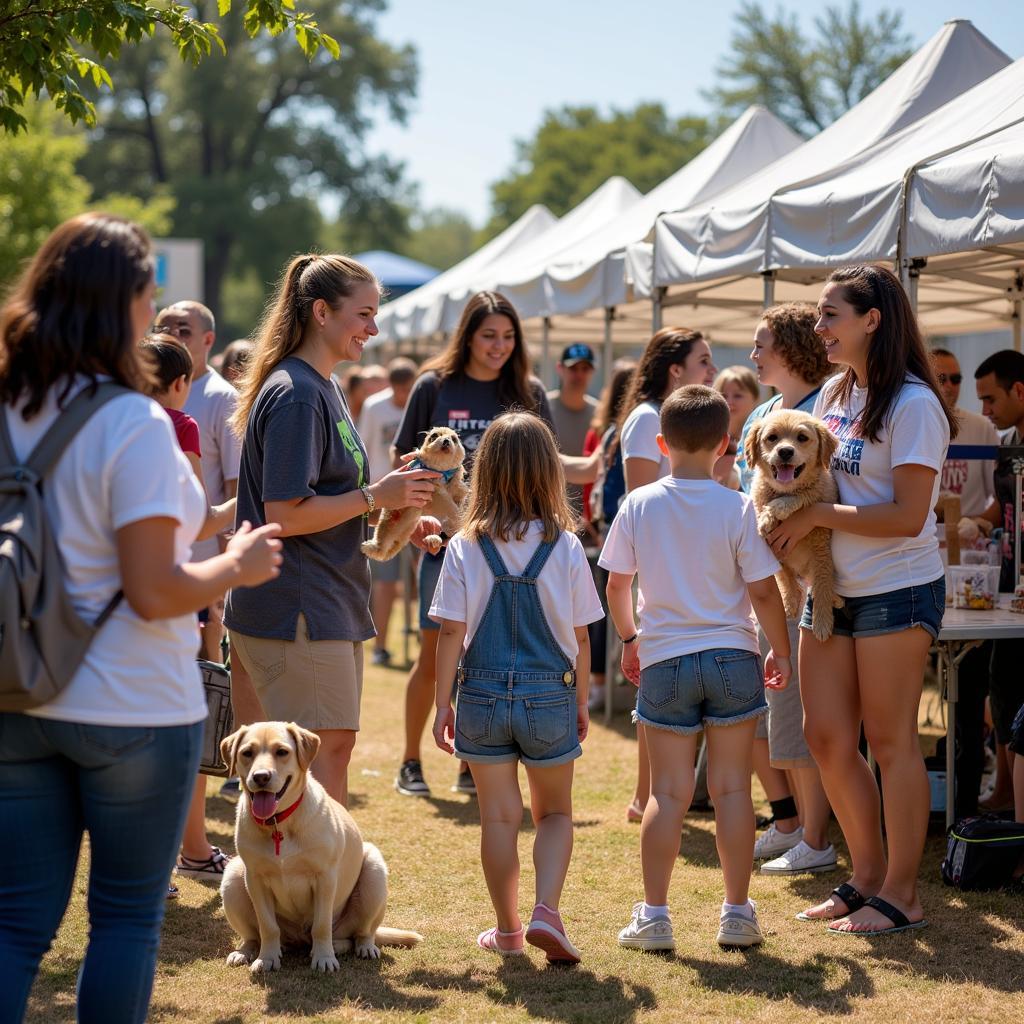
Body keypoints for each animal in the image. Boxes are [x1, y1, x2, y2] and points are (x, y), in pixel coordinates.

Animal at [218, 720, 421, 974]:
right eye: (247, 753)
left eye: (282, 752)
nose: (261, 777)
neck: (279, 824)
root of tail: (299, 939)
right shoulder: (255, 879)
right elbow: (268, 926)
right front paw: (267, 958)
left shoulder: (325, 878)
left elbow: (321, 926)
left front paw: (324, 957)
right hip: (233, 875)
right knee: (255, 935)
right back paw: (245, 951)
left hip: (373, 871)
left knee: (361, 933)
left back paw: (360, 947)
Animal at [360, 425, 468, 561]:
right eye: (434, 436)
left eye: (454, 439)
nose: (446, 441)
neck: (441, 471)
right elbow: (448, 504)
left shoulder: (455, 490)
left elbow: (456, 501)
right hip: (389, 520)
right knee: (381, 545)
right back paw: (370, 547)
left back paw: (434, 539)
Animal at [745, 407, 839, 638]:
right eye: (772, 438)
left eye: (802, 438)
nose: (785, 451)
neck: (783, 490)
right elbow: (784, 578)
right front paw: (767, 518)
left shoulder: (821, 546)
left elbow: (822, 585)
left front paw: (821, 623)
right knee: (790, 580)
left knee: (820, 584)